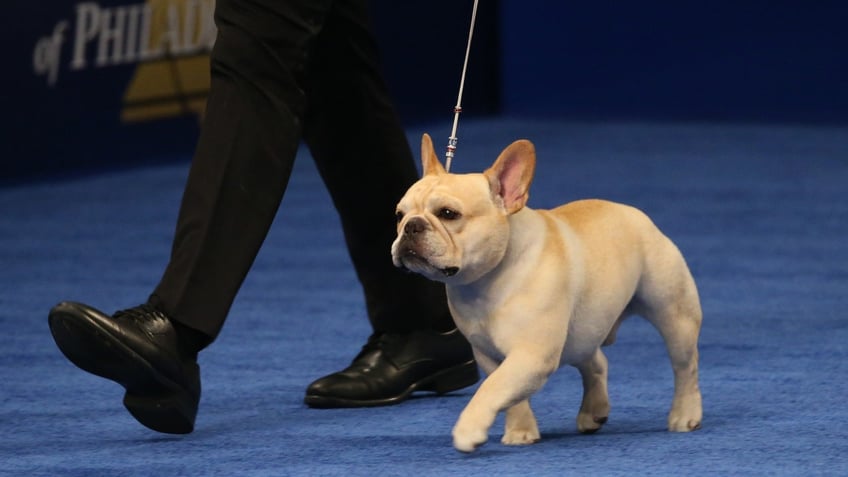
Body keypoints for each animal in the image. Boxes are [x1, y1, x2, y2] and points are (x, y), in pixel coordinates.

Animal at [390, 133, 704, 450]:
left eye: (448, 214)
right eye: (399, 215)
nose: (411, 226)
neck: (486, 280)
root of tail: (635, 214)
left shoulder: (532, 355)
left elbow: (493, 388)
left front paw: (469, 429)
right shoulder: (489, 355)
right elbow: (509, 395)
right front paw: (520, 431)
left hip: (674, 315)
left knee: (684, 367)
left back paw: (685, 414)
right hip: (582, 330)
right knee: (596, 361)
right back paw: (594, 411)